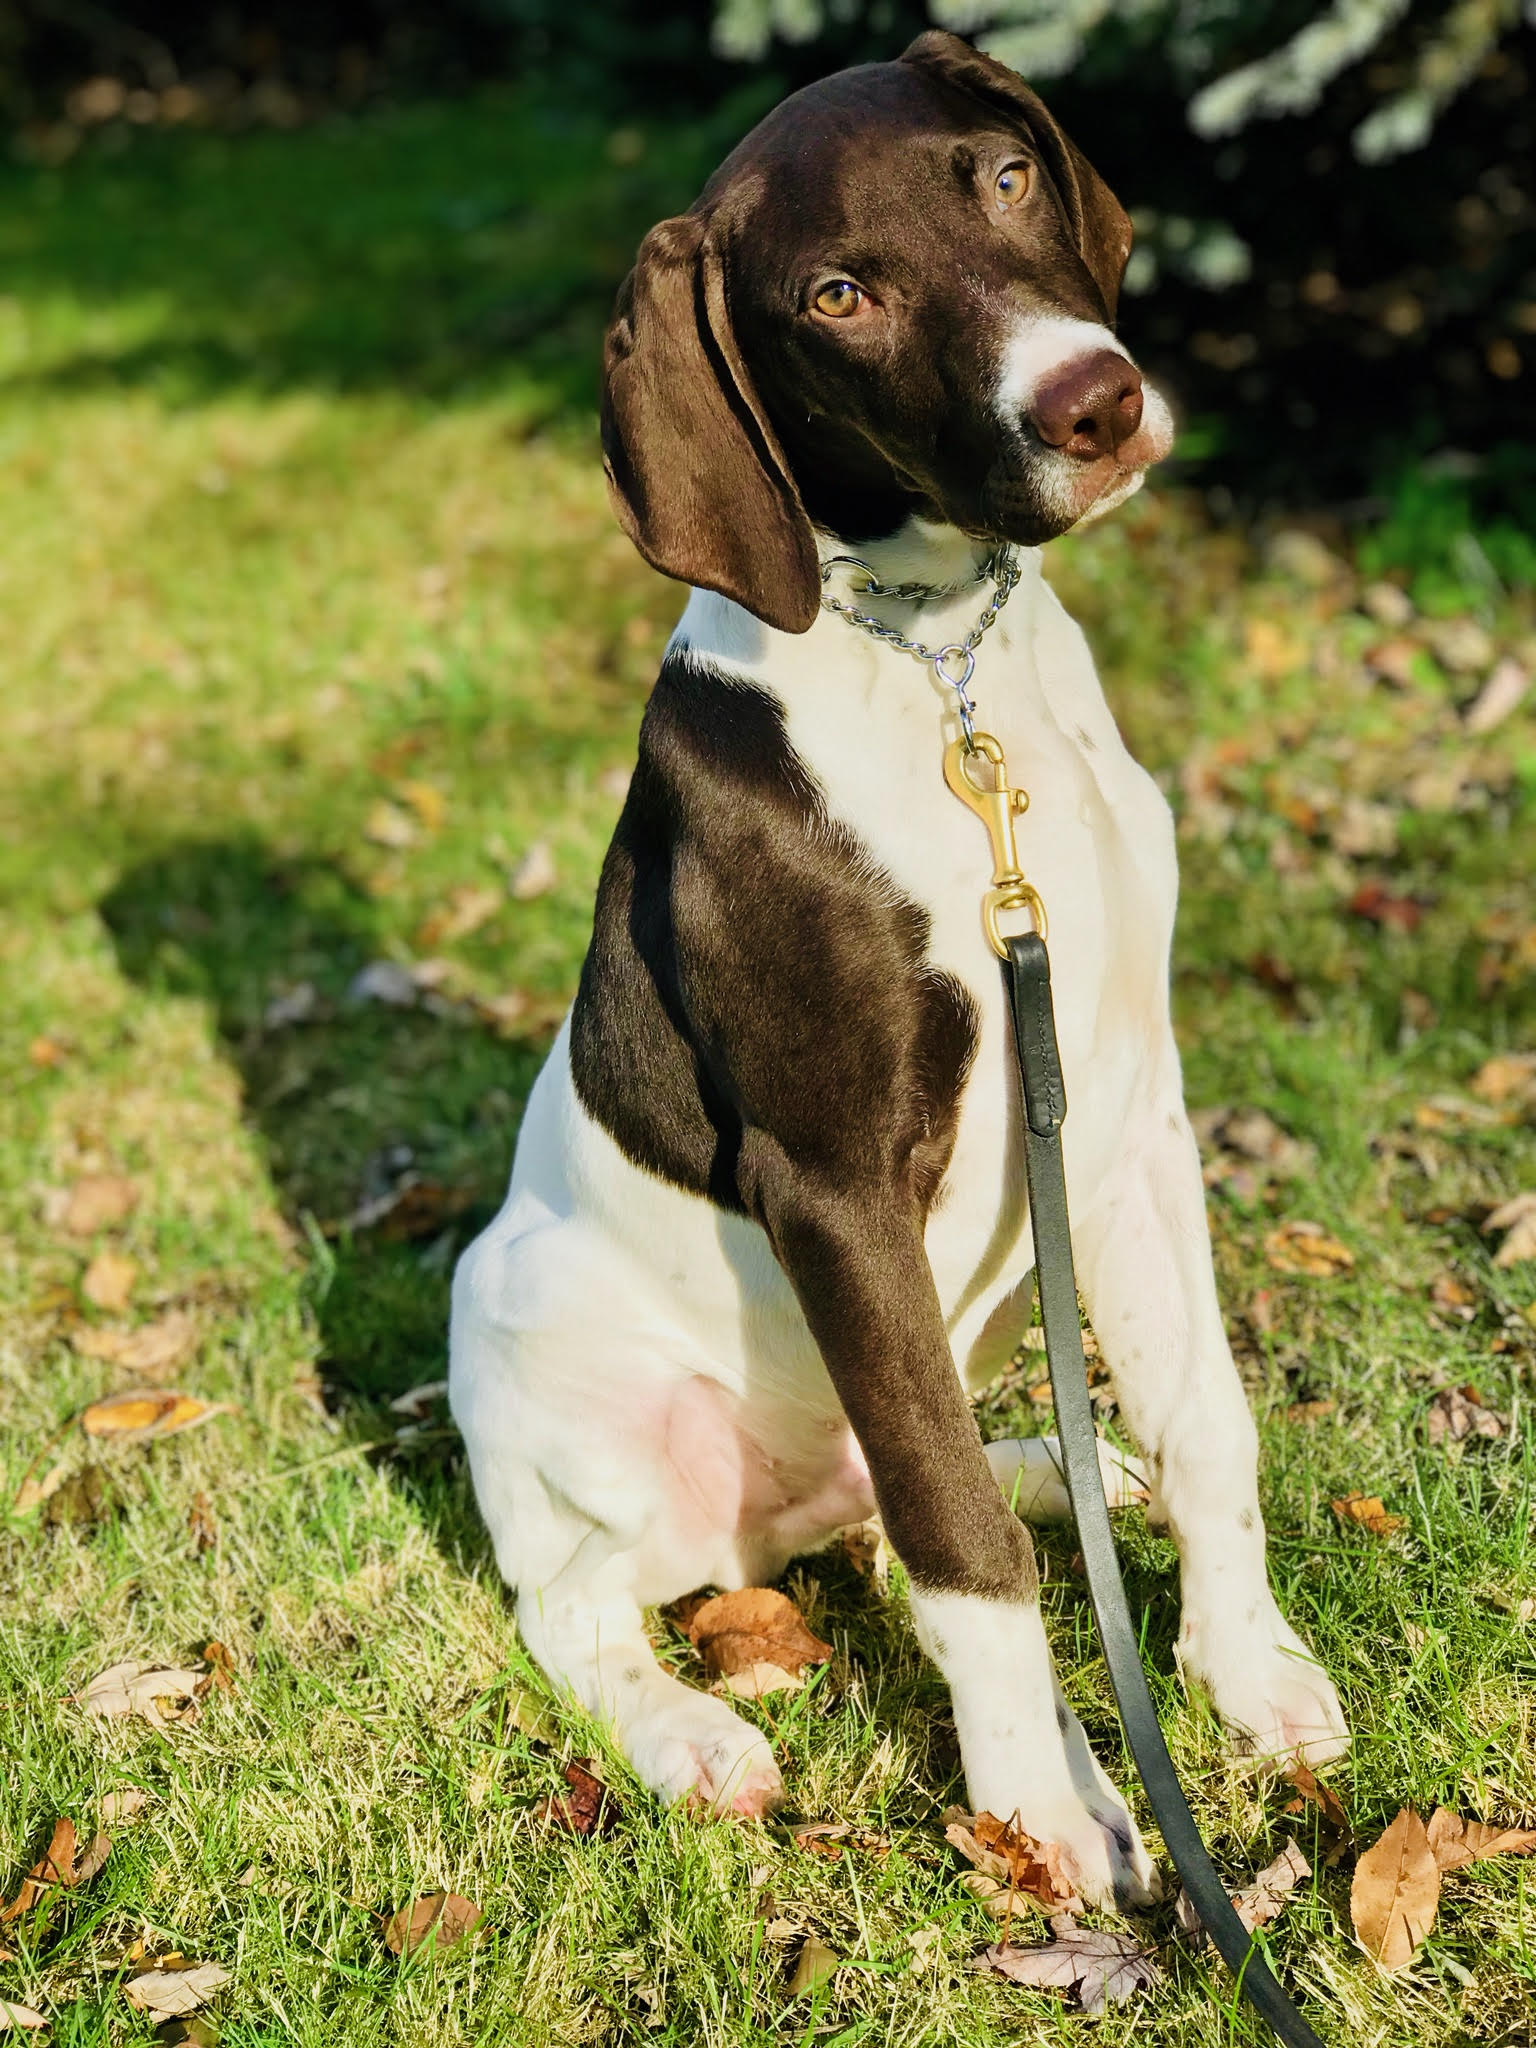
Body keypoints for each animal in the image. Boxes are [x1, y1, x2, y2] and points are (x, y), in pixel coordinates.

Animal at [448, 28, 1343, 1900]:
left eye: (1000, 178)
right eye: (838, 295)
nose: (1094, 402)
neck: (939, 666)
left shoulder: (1130, 1115)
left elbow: (1206, 1413)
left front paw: (1241, 1670)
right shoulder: (838, 1184)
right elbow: (961, 1545)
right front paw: (1038, 1802)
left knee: (911, 1483)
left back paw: (1074, 1472)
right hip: (542, 1343)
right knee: (583, 1600)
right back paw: (688, 1736)